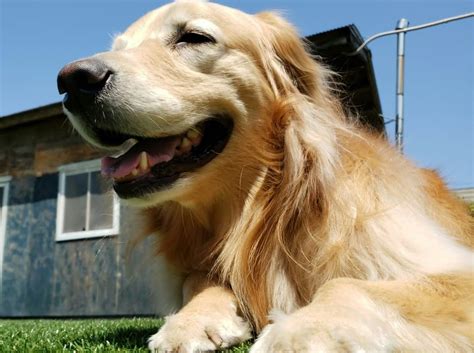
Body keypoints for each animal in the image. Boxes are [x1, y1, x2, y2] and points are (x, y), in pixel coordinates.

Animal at [58, 0, 474, 350]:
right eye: (120, 46)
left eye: (193, 37)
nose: (70, 81)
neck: (270, 199)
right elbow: (203, 280)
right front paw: (189, 321)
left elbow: (348, 285)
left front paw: (299, 331)